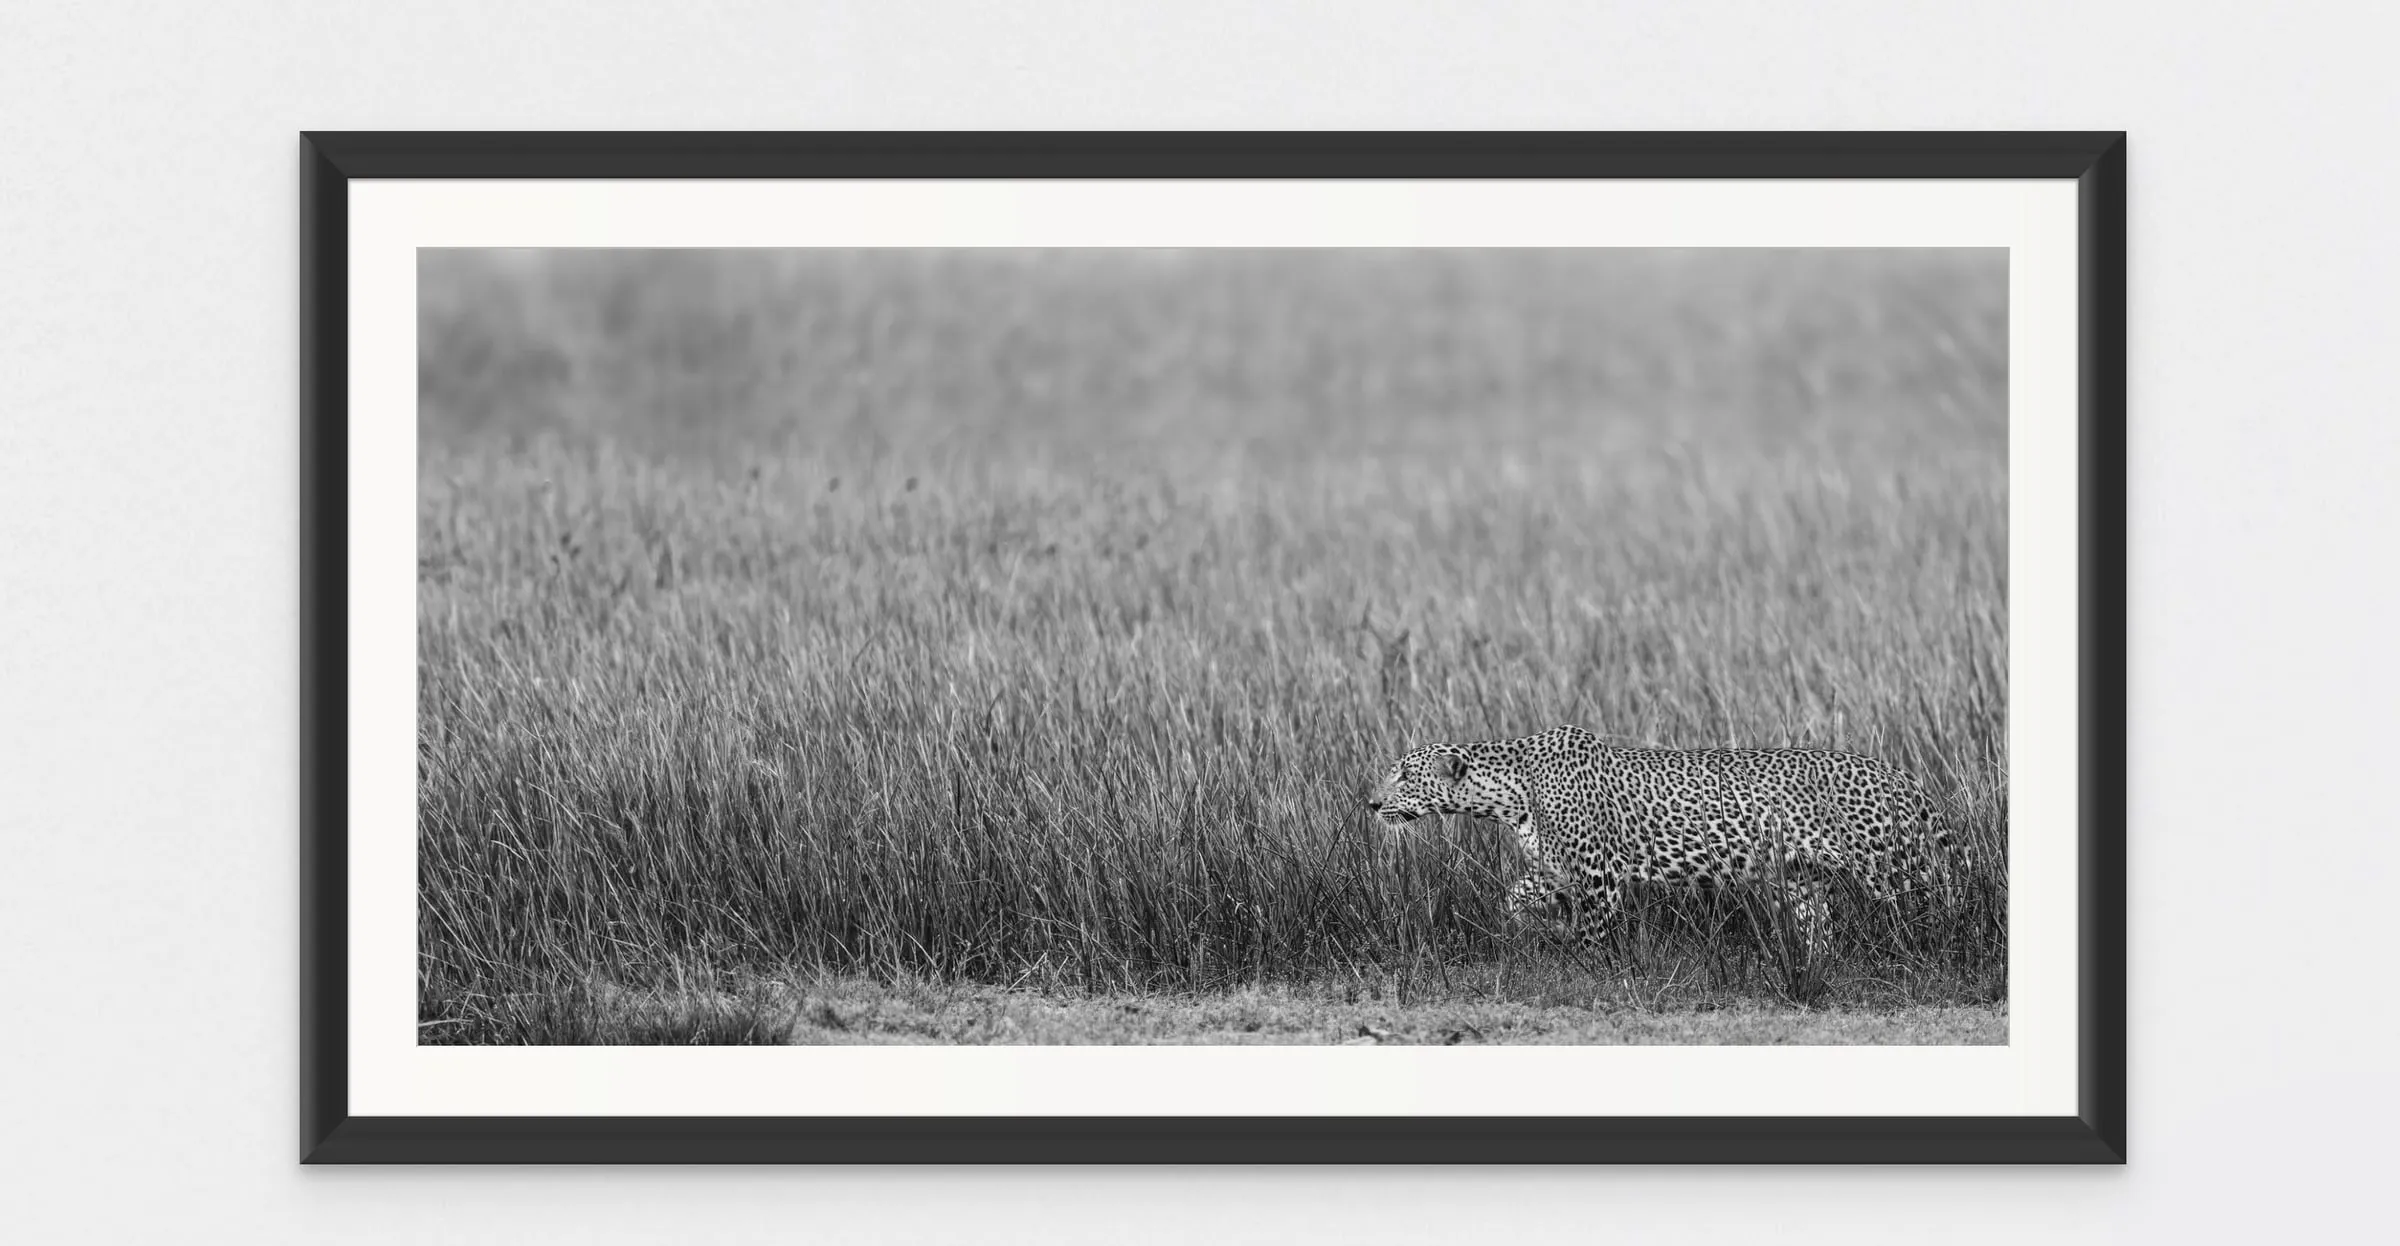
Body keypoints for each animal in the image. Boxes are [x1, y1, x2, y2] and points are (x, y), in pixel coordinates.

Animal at [1366, 724, 1973, 957]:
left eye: (1404, 775)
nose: (1371, 804)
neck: (1510, 794)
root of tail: (1901, 776)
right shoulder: (1555, 868)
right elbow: (1514, 896)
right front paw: (1545, 927)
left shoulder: (1599, 874)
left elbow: (1595, 936)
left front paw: (1588, 967)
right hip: (1803, 880)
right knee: (1819, 928)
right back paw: (1819, 963)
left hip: (1895, 866)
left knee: (1945, 902)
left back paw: (1948, 948)